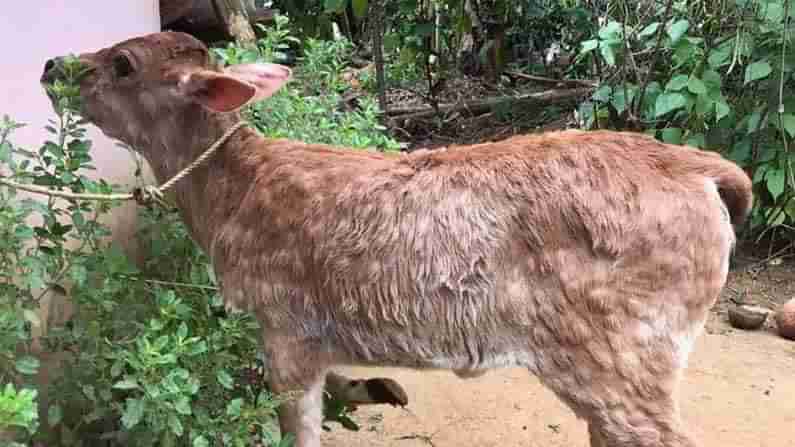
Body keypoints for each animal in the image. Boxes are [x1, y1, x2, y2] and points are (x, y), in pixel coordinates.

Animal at [43, 32, 752, 447]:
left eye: (122, 63)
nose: (51, 65)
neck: (229, 198)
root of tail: (704, 170)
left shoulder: (284, 326)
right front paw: (379, 390)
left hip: (624, 354)